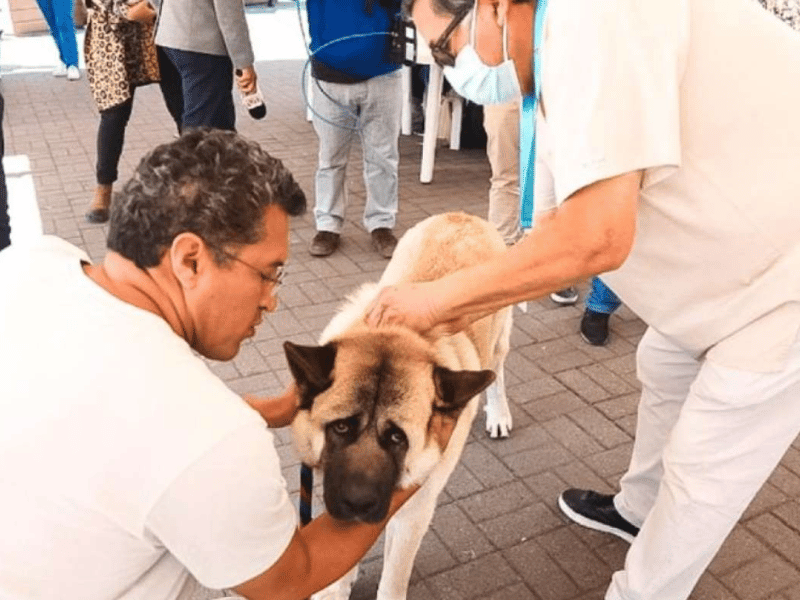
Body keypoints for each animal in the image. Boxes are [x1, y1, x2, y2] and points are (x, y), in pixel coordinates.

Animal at [284, 212, 516, 600]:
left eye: (398, 438)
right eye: (340, 427)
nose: (357, 504)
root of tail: (463, 216)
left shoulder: (413, 514)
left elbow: (393, 579)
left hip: (499, 341)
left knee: (497, 374)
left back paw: (498, 414)